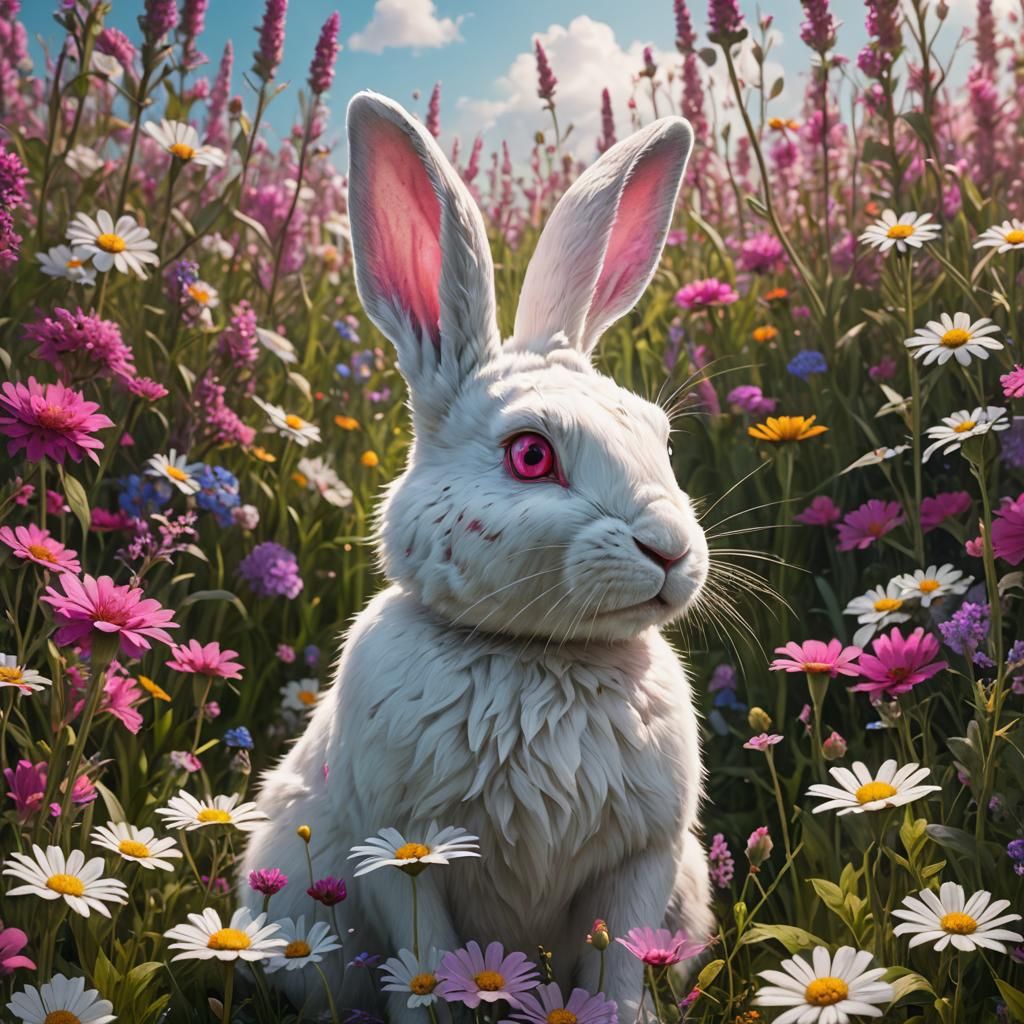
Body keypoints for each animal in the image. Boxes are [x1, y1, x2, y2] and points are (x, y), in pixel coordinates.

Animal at [239, 90, 713, 1020]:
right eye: (530, 454)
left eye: (663, 437)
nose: (670, 550)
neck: (538, 656)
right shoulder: (404, 853)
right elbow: (431, 970)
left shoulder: (642, 862)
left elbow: (618, 971)